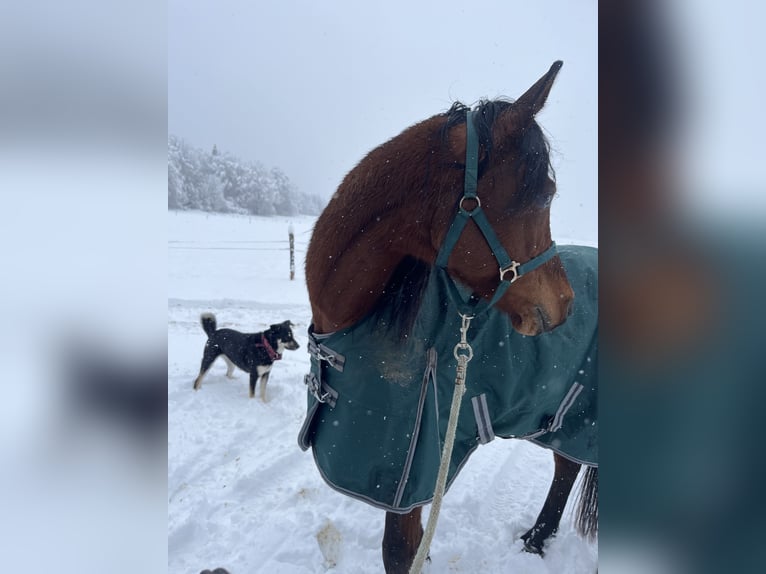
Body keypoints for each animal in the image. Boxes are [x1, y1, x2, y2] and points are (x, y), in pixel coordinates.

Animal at [296, 60, 596, 572]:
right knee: (565, 463)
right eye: (544, 196)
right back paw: (536, 539)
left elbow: (400, 553)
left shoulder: (412, 475)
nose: (565, 305)